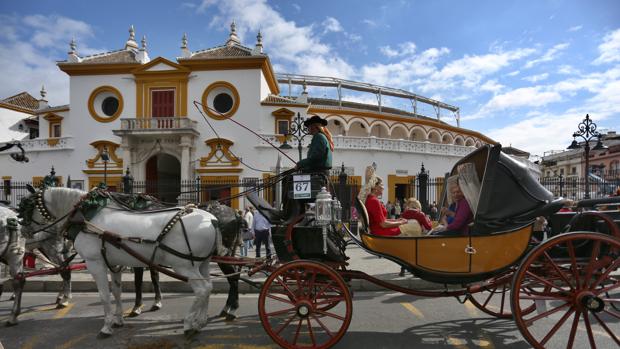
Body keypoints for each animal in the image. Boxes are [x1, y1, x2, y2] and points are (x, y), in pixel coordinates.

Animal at [21, 188, 225, 338]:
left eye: (27, 207)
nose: (24, 233)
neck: (86, 216)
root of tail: (212, 220)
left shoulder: (95, 263)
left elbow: (104, 296)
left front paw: (106, 327)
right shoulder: (114, 263)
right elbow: (117, 292)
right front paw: (118, 320)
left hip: (184, 265)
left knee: (202, 290)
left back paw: (190, 323)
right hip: (202, 263)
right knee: (209, 286)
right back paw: (201, 321)